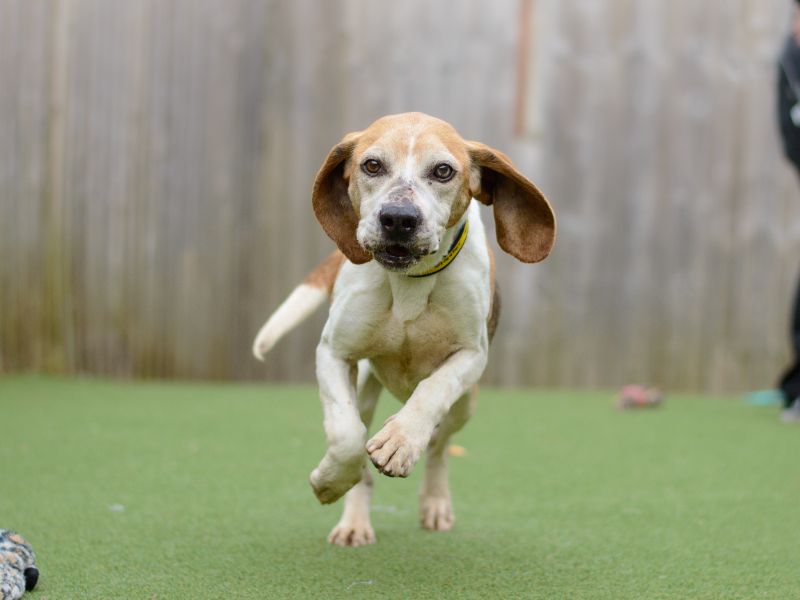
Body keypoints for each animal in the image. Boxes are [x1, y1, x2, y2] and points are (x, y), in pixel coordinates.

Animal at [253, 110, 552, 548]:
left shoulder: (470, 356)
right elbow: (347, 438)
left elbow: (432, 391)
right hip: (364, 385)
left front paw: (401, 439)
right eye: (372, 165)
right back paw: (354, 521)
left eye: (443, 170)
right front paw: (328, 482)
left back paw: (435, 501)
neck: (410, 281)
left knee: (440, 446)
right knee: (361, 447)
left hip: (466, 405)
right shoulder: (334, 353)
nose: (398, 218)